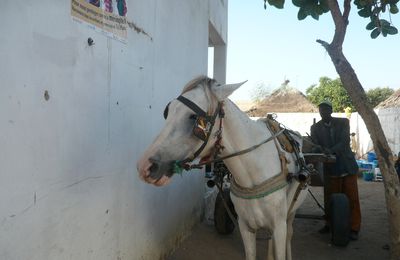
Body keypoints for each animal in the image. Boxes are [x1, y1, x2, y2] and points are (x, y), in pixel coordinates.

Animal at [138, 76, 310, 258]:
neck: (254, 174)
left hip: (290, 215)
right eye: (168, 111)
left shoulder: (279, 226)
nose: (145, 166)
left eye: (193, 117)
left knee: (289, 235)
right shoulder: (246, 227)